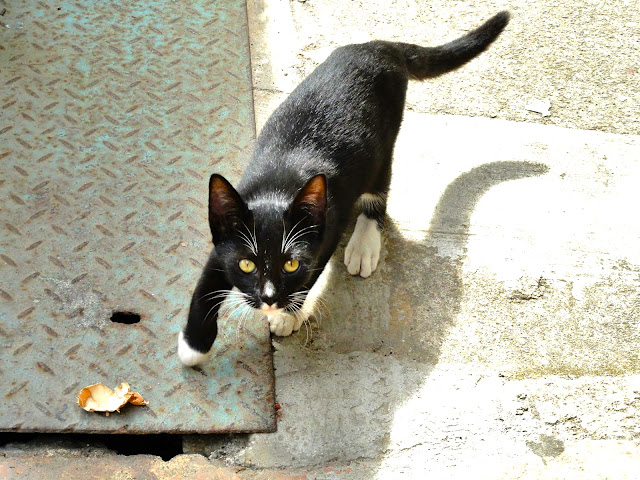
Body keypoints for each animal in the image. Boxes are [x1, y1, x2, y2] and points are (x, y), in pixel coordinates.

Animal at [179, 11, 510, 366]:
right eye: (246, 264)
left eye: (291, 264)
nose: (268, 299)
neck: (277, 187)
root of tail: (381, 46)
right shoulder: (225, 234)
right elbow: (205, 286)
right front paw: (193, 343)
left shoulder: (327, 230)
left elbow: (310, 275)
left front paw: (288, 315)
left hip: (383, 145)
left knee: (379, 188)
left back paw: (364, 242)